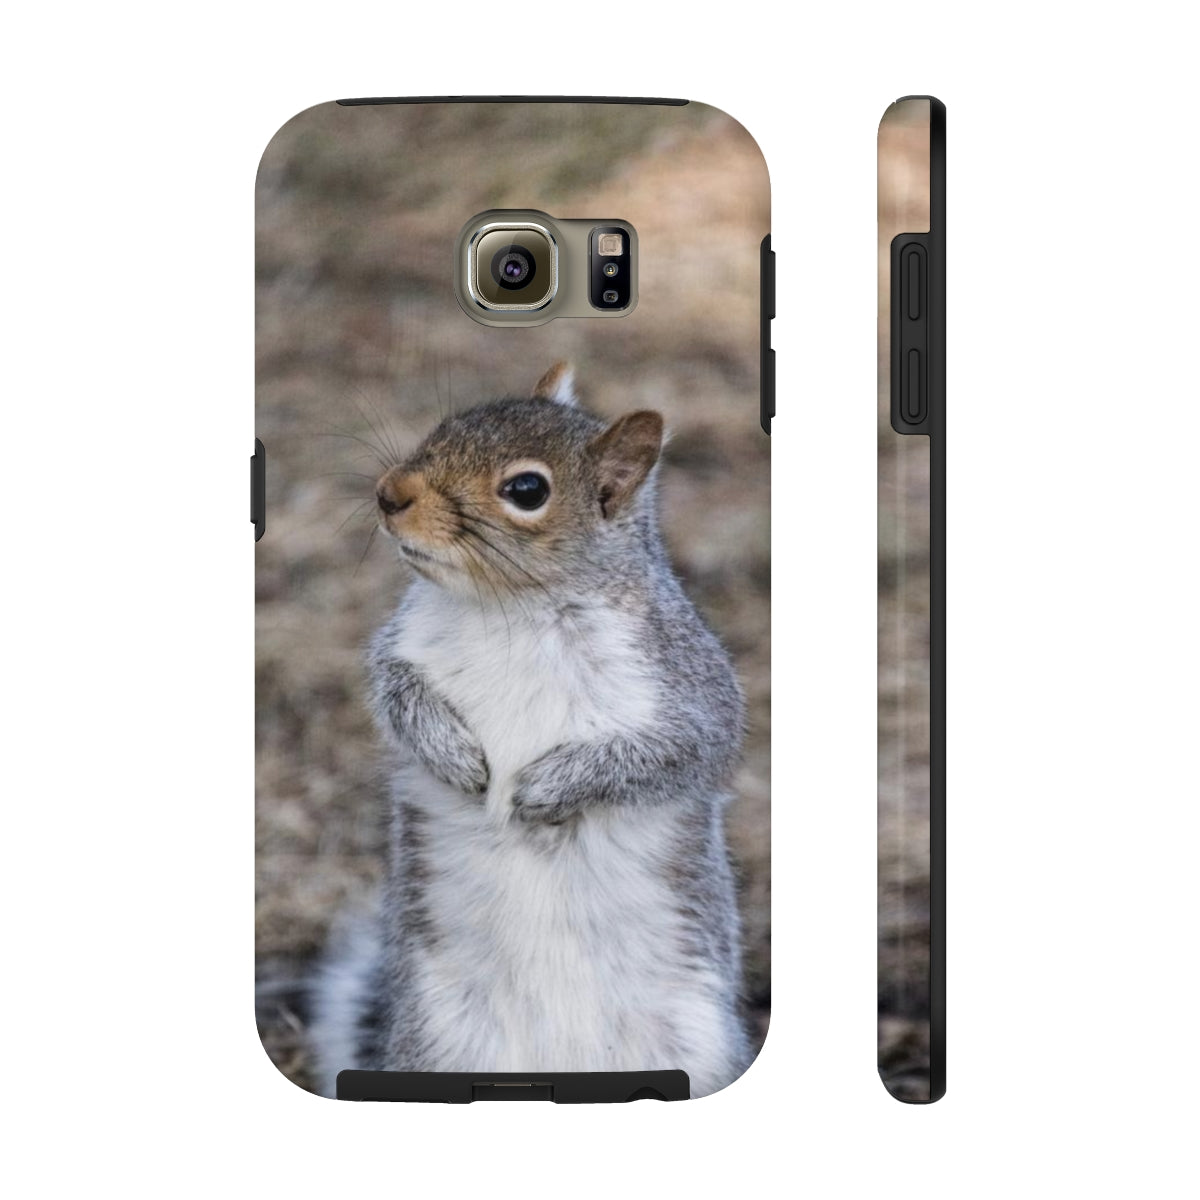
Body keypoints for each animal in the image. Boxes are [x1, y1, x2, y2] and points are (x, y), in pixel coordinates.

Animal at [311, 363, 751, 1098]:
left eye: (526, 491)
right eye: (446, 425)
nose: (389, 494)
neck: (510, 607)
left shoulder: (687, 687)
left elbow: (671, 752)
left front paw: (545, 789)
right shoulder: (401, 648)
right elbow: (395, 693)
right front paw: (454, 755)